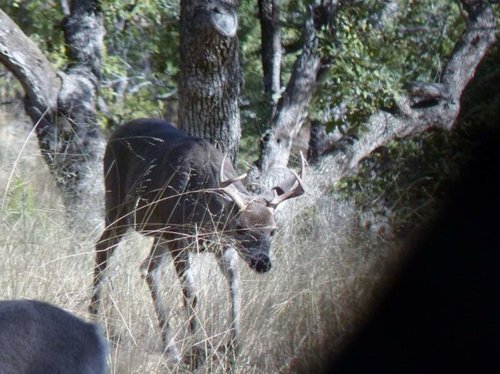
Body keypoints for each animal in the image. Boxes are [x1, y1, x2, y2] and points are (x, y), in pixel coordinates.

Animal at [88, 118, 302, 364]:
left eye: (273, 230)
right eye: (240, 228)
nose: (262, 262)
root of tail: (117, 131)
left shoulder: (222, 245)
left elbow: (234, 288)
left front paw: (235, 348)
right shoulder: (179, 237)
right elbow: (191, 294)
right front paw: (197, 349)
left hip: (159, 232)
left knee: (148, 268)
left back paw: (170, 348)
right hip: (118, 204)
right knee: (103, 248)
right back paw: (95, 317)